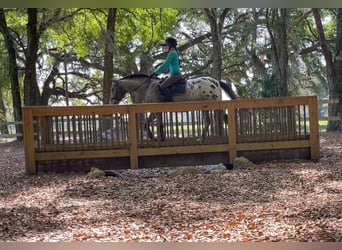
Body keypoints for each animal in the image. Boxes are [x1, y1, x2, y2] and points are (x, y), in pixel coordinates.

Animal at [110, 73, 238, 142]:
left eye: (114, 88)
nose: (111, 103)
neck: (146, 87)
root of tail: (216, 81)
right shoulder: (154, 110)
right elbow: (148, 123)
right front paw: (153, 137)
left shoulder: (156, 109)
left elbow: (159, 124)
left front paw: (159, 139)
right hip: (204, 106)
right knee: (207, 121)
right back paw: (200, 138)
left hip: (215, 104)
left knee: (224, 118)